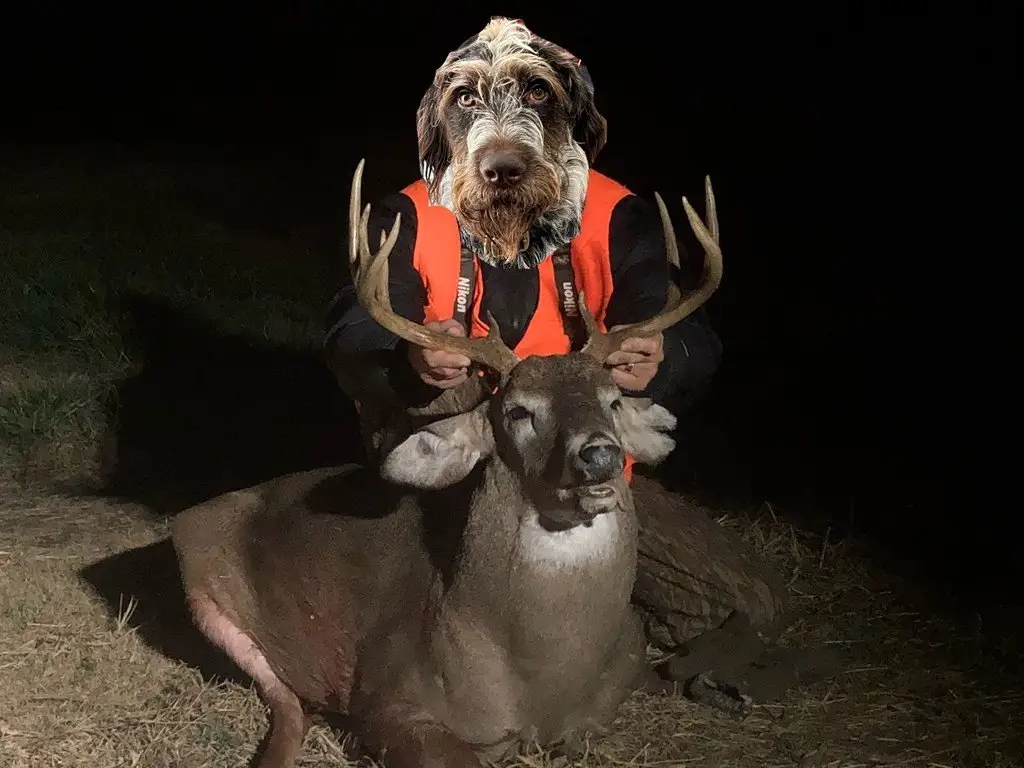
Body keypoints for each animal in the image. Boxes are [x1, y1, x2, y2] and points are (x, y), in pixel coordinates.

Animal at [169, 158, 724, 768]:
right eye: (518, 411)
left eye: (614, 402)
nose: (599, 454)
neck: (543, 680)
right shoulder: (389, 697)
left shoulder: (607, 703)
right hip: (197, 571)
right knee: (282, 695)